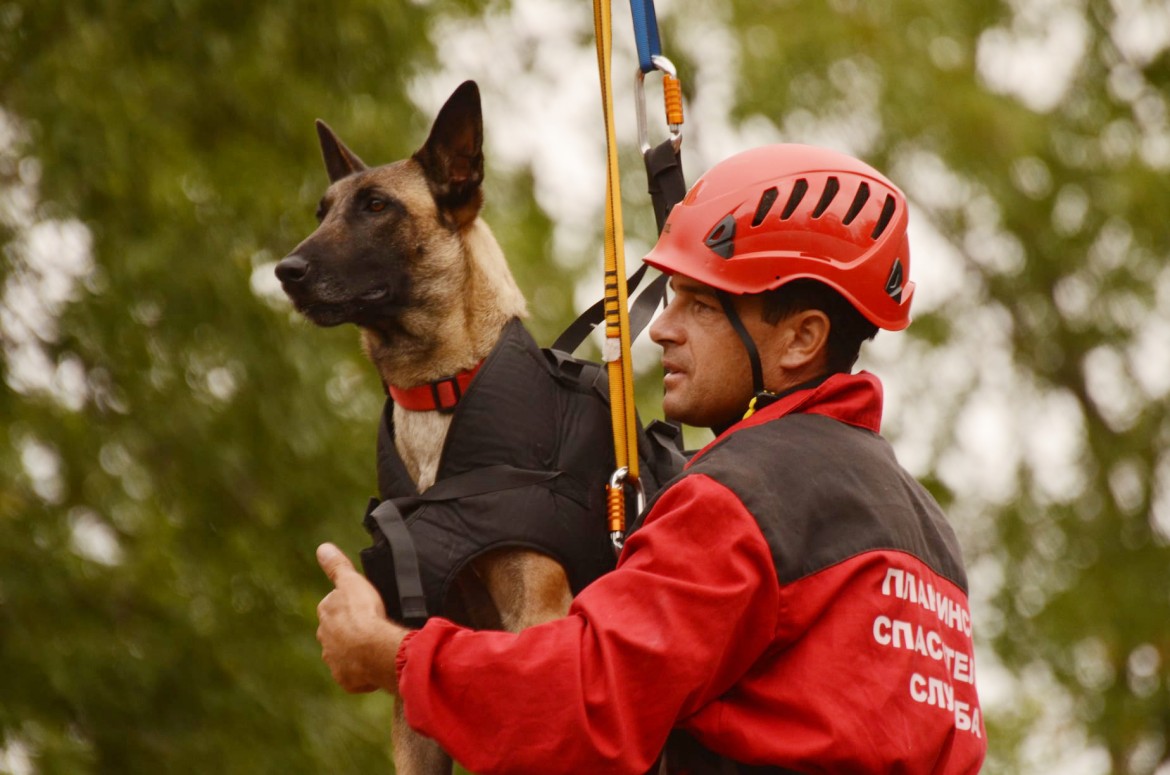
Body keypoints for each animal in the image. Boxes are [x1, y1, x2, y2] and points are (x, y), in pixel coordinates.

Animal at [279, 81, 580, 772]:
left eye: (376, 206)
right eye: (321, 212)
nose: (285, 271)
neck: (438, 389)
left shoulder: (535, 618)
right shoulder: (412, 655)